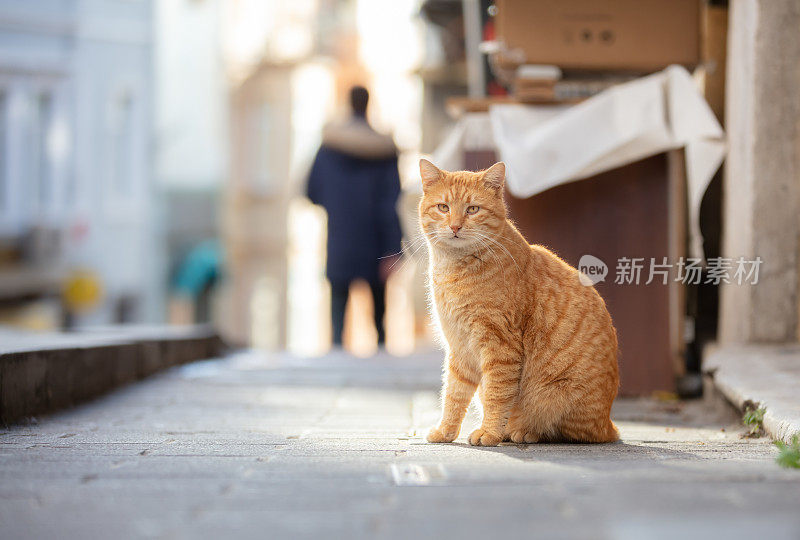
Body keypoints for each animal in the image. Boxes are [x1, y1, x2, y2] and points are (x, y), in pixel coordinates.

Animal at [422, 159, 620, 448]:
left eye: (472, 209)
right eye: (443, 207)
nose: (455, 227)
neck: (455, 268)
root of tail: (608, 425)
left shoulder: (499, 345)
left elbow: (496, 394)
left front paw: (489, 432)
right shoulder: (460, 347)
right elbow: (454, 395)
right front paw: (445, 432)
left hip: (555, 396)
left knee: (561, 431)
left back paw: (521, 431)